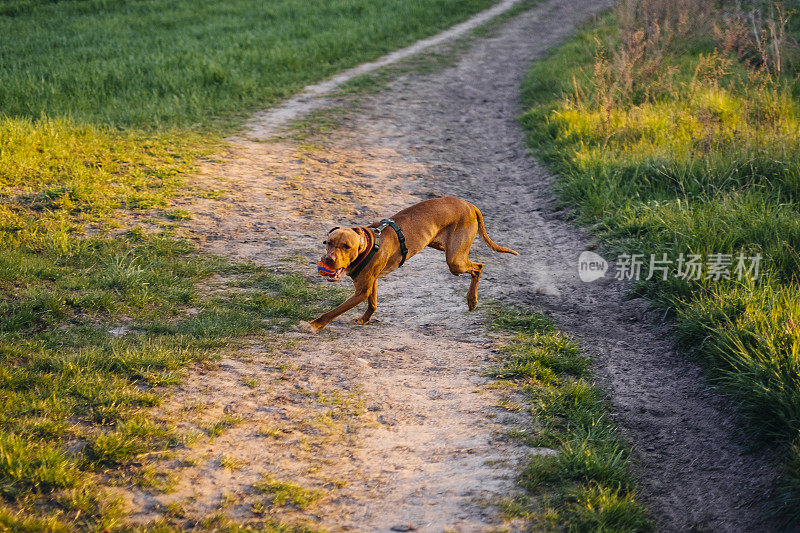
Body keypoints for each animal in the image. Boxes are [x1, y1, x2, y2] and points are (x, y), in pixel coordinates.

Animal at [310, 195, 516, 328]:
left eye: (346, 246)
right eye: (328, 243)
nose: (328, 259)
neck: (368, 244)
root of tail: (469, 205)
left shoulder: (361, 291)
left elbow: (333, 312)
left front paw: (314, 324)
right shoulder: (370, 283)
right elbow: (373, 303)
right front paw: (364, 319)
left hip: (455, 261)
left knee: (479, 267)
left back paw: (472, 300)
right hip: (444, 247)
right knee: (476, 265)